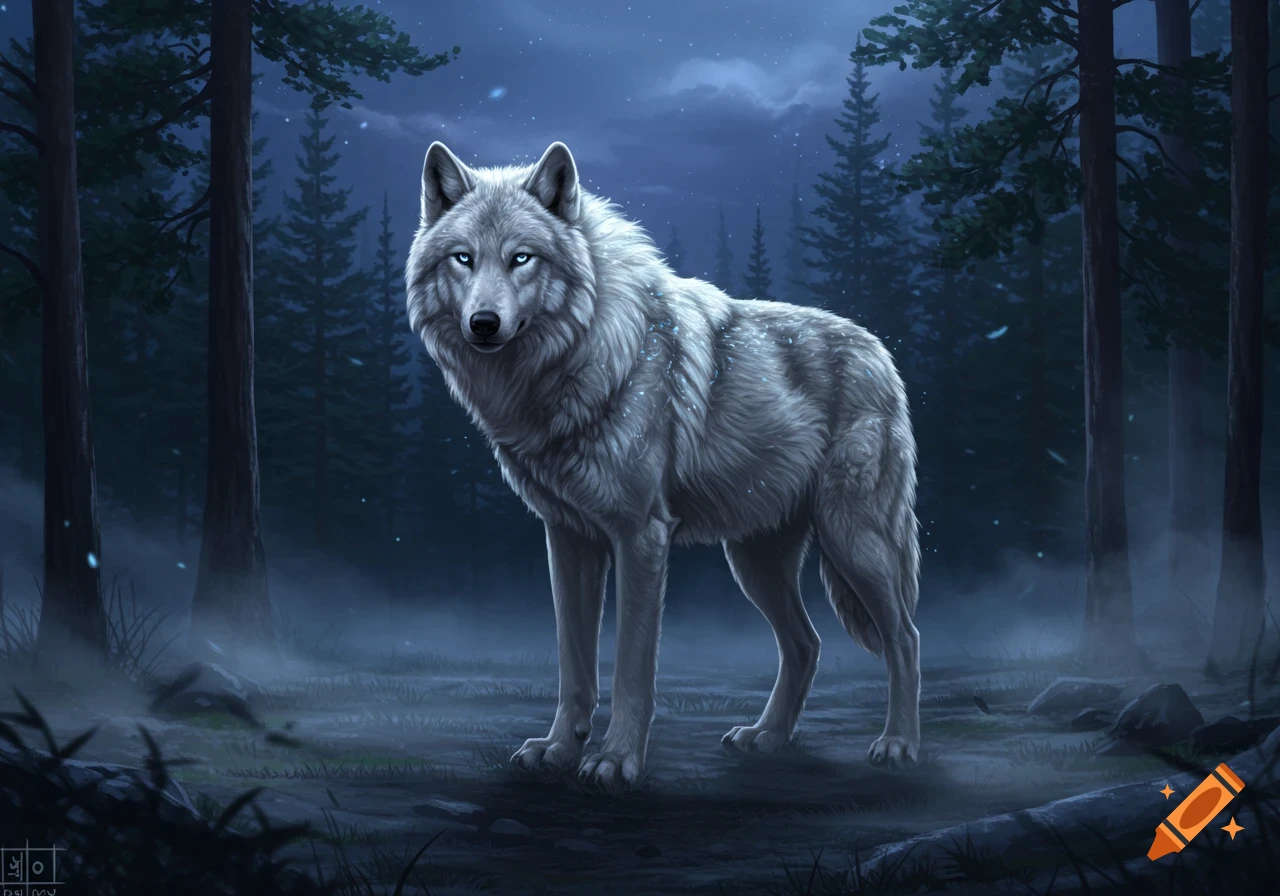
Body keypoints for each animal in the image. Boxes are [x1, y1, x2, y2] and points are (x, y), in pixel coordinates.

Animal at [405, 141, 922, 788]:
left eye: (521, 258)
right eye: (463, 259)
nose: (483, 324)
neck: (585, 356)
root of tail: (881, 353)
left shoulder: (641, 536)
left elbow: (631, 666)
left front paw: (615, 760)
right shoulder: (568, 539)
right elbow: (574, 665)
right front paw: (559, 749)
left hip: (853, 541)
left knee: (905, 637)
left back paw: (898, 743)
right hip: (754, 562)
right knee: (807, 644)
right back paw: (767, 737)